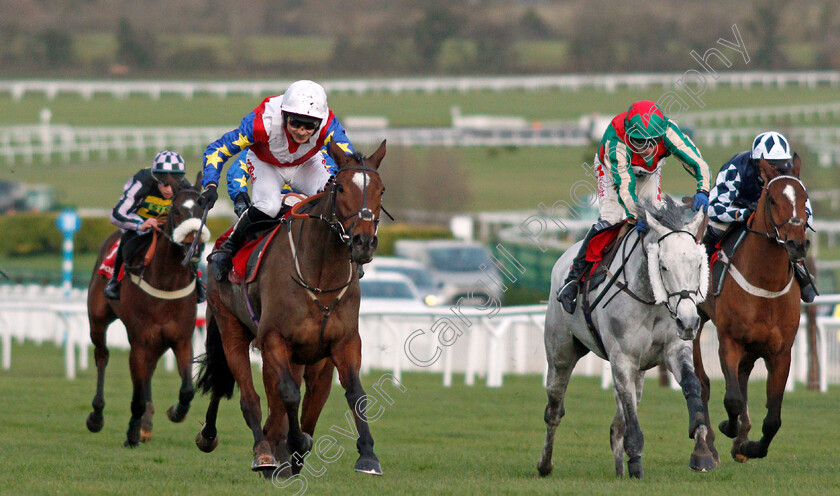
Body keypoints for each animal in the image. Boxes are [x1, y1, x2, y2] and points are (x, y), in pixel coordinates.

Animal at [85, 181, 210, 446]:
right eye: (176, 211)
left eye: (203, 211)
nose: (194, 246)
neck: (167, 281)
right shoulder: (140, 340)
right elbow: (137, 395)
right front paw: (132, 432)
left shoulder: (180, 338)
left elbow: (187, 390)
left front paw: (175, 412)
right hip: (98, 319)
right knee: (102, 356)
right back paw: (97, 416)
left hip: (158, 341)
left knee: (149, 370)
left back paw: (146, 424)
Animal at [199, 139, 388, 476]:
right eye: (340, 188)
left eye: (381, 190)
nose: (363, 242)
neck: (320, 279)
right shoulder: (274, 339)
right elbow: (288, 394)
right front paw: (295, 443)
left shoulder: (343, 343)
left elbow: (353, 394)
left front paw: (367, 455)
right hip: (231, 328)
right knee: (249, 397)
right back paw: (260, 452)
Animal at [540, 199, 716, 480]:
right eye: (663, 265)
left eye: (699, 264)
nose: (689, 322)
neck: (649, 298)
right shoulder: (622, 359)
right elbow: (631, 415)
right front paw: (636, 463)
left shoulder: (675, 348)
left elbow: (692, 386)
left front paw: (701, 450)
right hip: (561, 352)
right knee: (554, 410)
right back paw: (545, 464)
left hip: (639, 371)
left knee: (616, 425)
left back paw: (619, 470)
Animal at [692, 157, 812, 464]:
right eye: (771, 199)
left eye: (804, 198)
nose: (796, 244)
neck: (766, 284)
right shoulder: (729, 341)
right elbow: (732, 399)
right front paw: (728, 428)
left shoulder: (781, 352)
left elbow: (773, 419)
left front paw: (748, 446)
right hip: (694, 321)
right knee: (702, 382)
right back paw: (708, 444)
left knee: (743, 375)